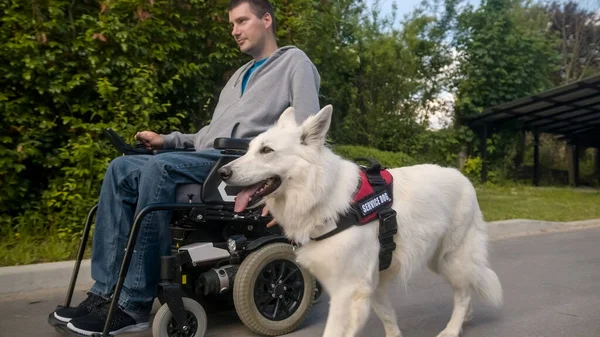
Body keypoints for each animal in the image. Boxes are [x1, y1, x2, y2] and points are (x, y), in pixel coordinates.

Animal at [219, 105, 502, 336]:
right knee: (465, 289)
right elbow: (388, 318)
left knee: (463, 294)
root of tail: (465, 179)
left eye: (266, 151)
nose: (222, 172)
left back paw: (453, 329)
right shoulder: (369, 286)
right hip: (439, 261)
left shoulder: (347, 291)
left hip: (453, 259)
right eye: (249, 150)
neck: (322, 194)